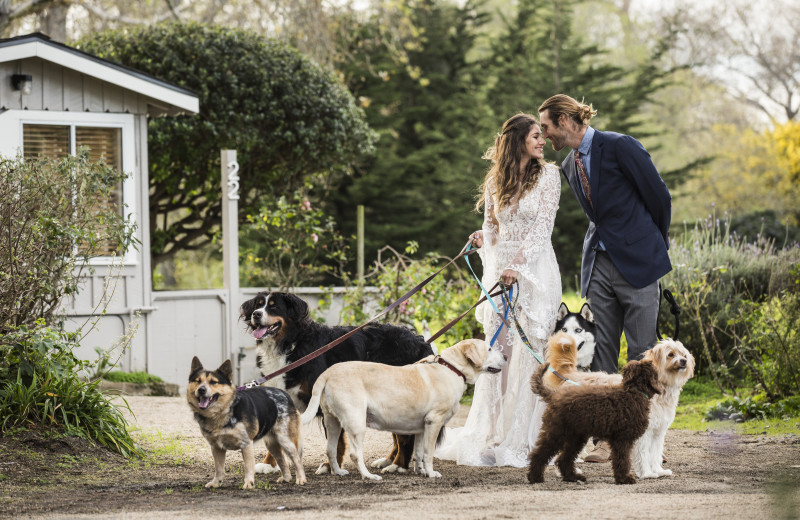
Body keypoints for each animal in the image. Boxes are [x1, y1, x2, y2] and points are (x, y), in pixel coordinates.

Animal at [187, 356, 306, 490]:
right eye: (197, 381)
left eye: (213, 382)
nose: (201, 390)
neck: (225, 410)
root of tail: (286, 395)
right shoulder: (216, 447)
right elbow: (219, 469)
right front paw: (216, 482)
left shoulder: (246, 444)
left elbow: (248, 467)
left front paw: (249, 483)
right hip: (272, 444)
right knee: (282, 460)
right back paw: (286, 478)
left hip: (285, 440)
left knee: (297, 459)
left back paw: (301, 479)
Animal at [241, 290, 434, 474]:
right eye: (258, 305)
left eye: (274, 307)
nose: (256, 314)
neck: (289, 345)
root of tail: (420, 340)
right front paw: (268, 464)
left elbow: (335, 443)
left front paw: (331, 466)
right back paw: (388, 460)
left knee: (404, 436)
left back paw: (398, 465)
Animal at [528, 360, 660, 486]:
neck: (633, 392)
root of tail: (554, 395)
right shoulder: (622, 439)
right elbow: (623, 459)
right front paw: (624, 479)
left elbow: (620, 459)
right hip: (556, 431)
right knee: (538, 454)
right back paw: (535, 477)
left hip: (575, 437)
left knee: (564, 458)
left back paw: (573, 477)